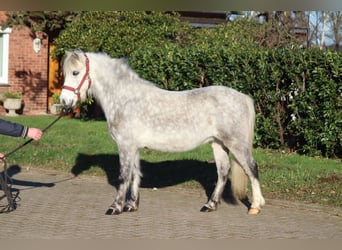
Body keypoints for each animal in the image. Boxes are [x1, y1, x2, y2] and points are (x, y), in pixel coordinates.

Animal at [60, 50, 266, 215]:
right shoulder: (133, 147)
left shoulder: (125, 145)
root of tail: (243, 97)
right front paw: (131, 205)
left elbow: (124, 175)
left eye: (76, 72)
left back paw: (255, 206)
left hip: (236, 144)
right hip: (218, 143)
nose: (64, 101)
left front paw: (115, 207)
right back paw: (210, 205)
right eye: (65, 73)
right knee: (223, 172)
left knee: (251, 168)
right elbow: (135, 174)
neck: (126, 98)